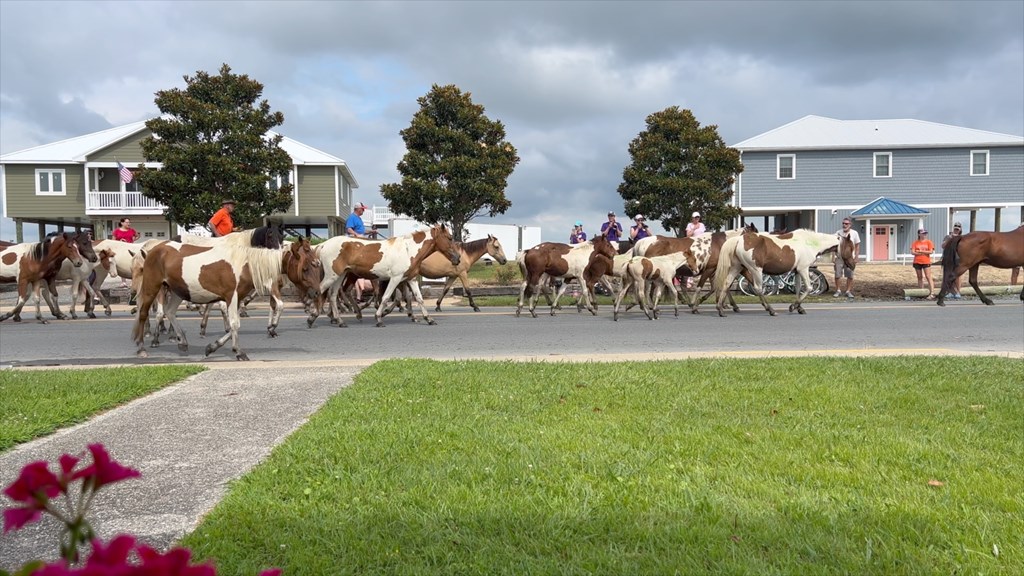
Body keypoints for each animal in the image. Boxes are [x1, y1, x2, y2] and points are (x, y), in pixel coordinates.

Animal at [307, 224, 460, 325]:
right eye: (450, 238)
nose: (458, 258)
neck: (408, 250)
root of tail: (323, 245)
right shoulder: (396, 278)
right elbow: (386, 297)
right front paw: (379, 317)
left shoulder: (410, 279)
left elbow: (418, 298)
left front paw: (429, 318)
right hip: (332, 276)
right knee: (322, 291)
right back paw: (313, 316)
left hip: (340, 275)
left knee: (333, 295)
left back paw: (339, 320)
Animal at [712, 228, 856, 315]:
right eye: (850, 248)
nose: (853, 265)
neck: (809, 243)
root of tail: (738, 239)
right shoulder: (804, 269)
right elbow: (808, 288)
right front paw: (793, 306)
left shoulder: (797, 271)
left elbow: (798, 289)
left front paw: (799, 308)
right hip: (755, 270)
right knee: (758, 288)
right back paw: (770, 310)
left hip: (736, 267)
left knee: (726, 284)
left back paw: (720, 309)